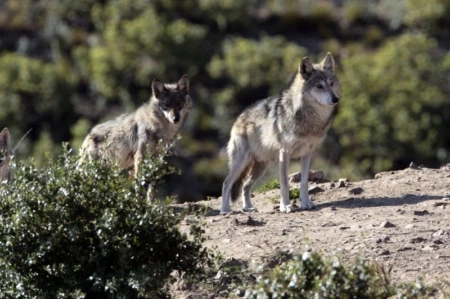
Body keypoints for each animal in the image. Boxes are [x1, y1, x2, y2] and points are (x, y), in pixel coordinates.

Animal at [220, 53, 340, 213]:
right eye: (319, 86)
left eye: (331, 84)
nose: (335, 99)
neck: (309, 119)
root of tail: (239, 118)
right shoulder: (285, 153)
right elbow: (284, 184)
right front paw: (285, 206)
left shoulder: (308, 153)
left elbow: (304, 182)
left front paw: (306, 203)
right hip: (241, 162)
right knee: (226, 183)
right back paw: (225, 209)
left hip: (261, 167)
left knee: (245, 185)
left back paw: (248, 207)